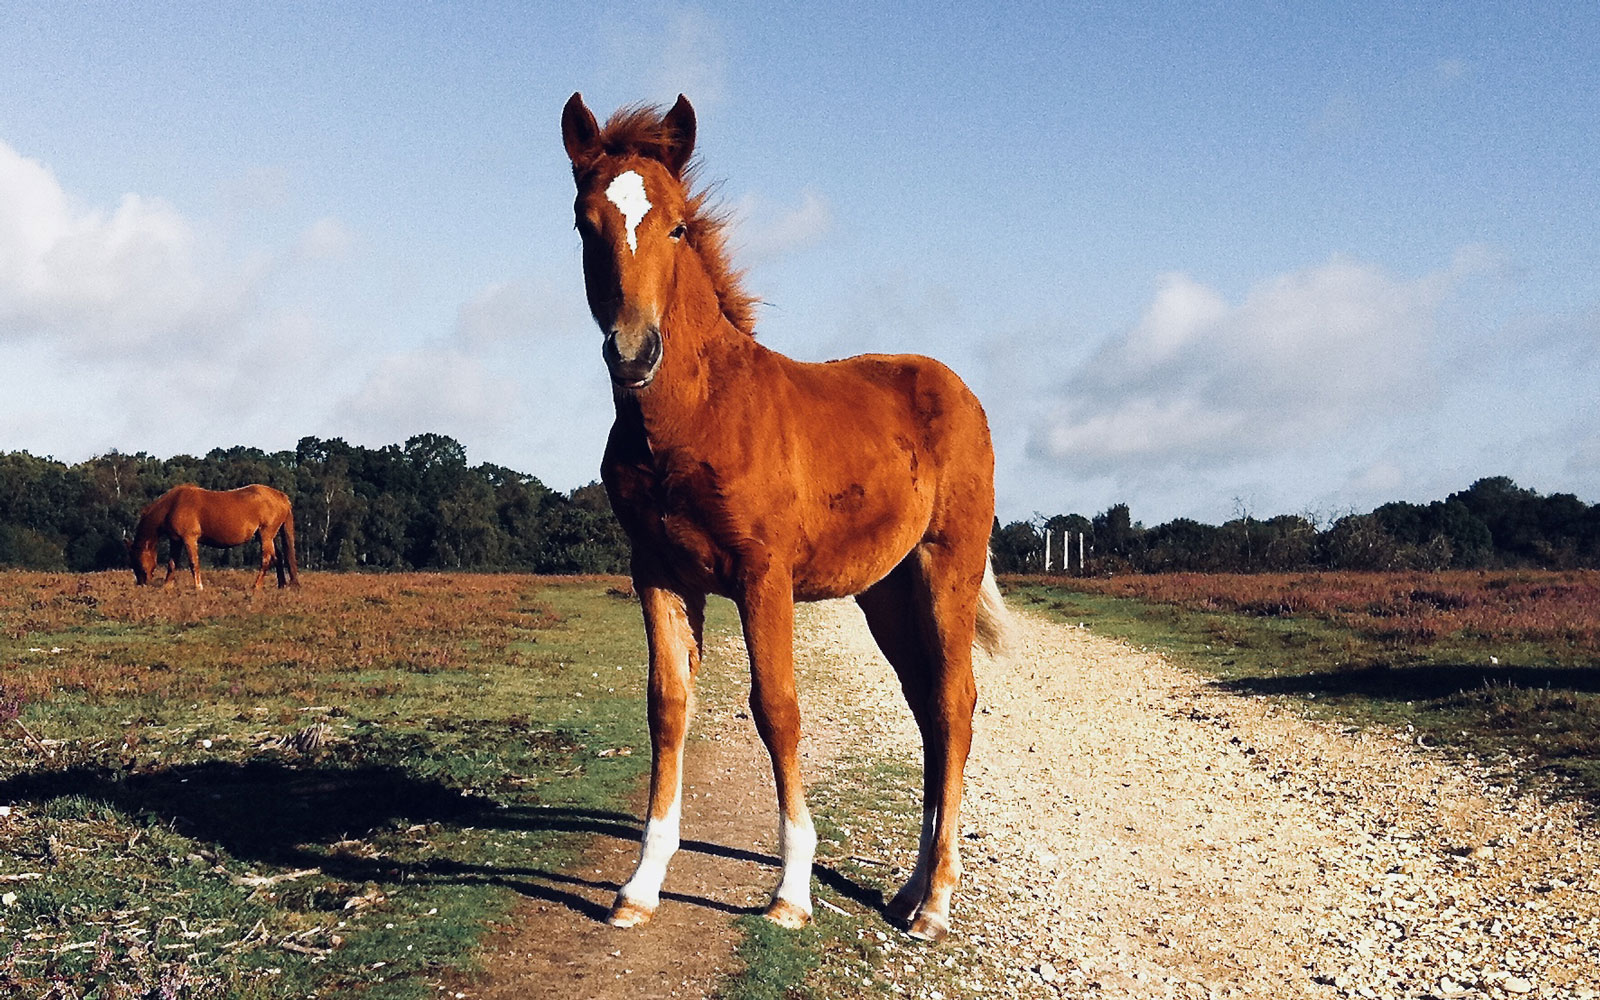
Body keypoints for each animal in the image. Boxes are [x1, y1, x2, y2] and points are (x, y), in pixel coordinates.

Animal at [129, 484, 300, 591]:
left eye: (137, 561)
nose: (141, 584)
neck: (173, 504)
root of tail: (281, 496)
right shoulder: (176, 541)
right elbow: (172, 563)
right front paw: (167, 585)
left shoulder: (189, 539)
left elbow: (193, 563)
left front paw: (198, 587)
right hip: (267, 536)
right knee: (278, 557)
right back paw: (282, 585)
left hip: (266, 535)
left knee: (267, 559)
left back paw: (256, 586)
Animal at [561, 93, 1007, 941]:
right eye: (584, 222)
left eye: (677, 226)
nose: (633, 352)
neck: (694, 418)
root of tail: (961, 390)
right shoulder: (658, 572)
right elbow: (667, 708)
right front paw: (639, 887)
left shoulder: (762, 575)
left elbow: (778, 710)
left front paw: (791, 892)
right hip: (885, 590)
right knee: (927, 707)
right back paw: (909, 889)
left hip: (948, 566)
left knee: (955, 703)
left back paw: (936, 902)